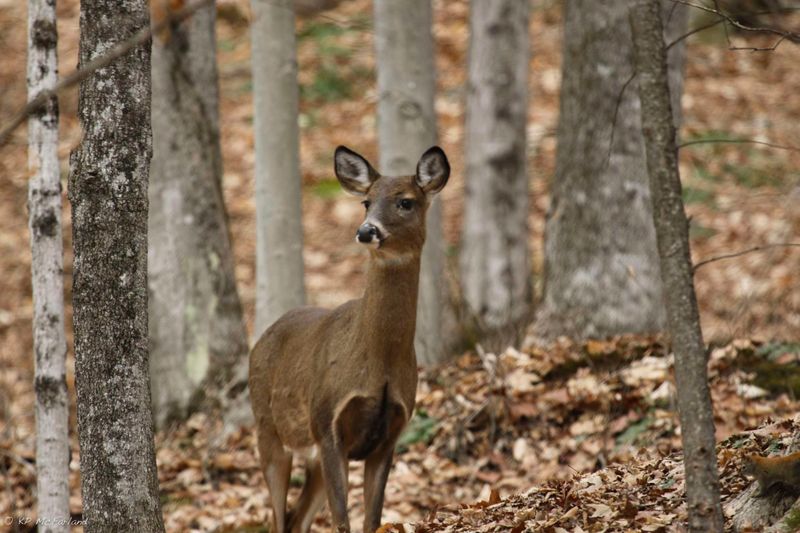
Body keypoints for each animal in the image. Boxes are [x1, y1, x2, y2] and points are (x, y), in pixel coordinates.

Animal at [250, 145, 450, 532]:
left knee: (297, 519)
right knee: (279, 518)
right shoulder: (328, 423)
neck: (379, 364)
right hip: (267, 428)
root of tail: (262, 337)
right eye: (366, 202)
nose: (366, 230)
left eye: (405, 201)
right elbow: (342, 520)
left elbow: (372, 519)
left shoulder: (390, 435)